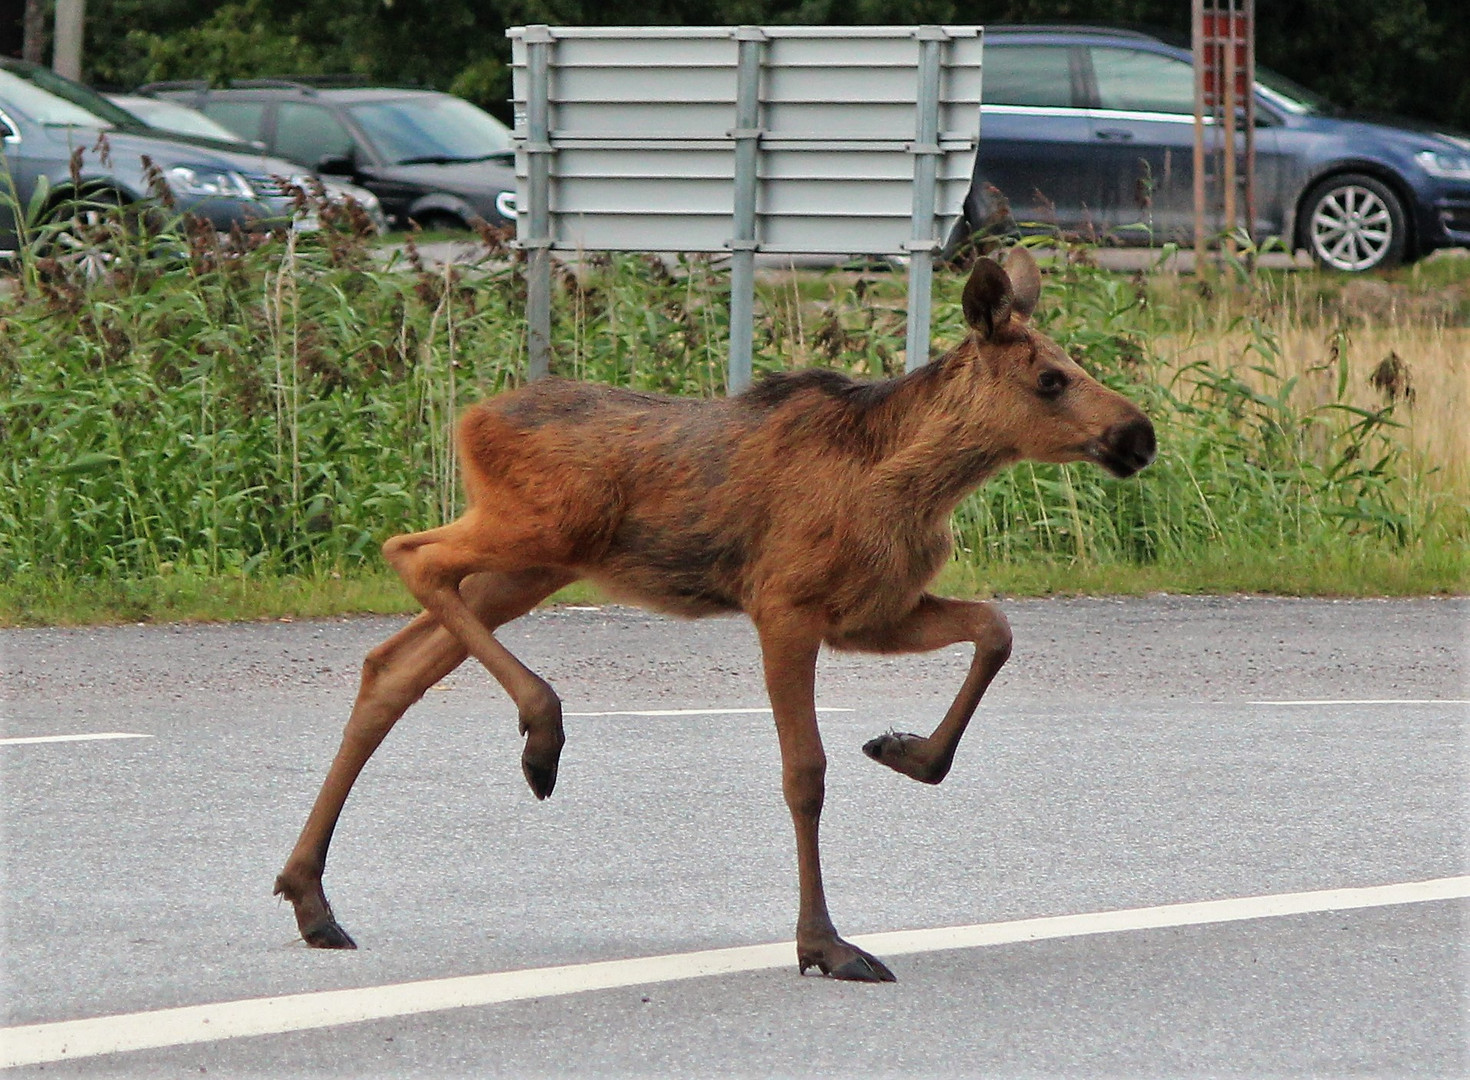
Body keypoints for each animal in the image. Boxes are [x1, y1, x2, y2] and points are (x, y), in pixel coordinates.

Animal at [273, 249, 1146, 981]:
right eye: (1051, 378)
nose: (1139, 435)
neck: (914, 487)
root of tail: (469, 418)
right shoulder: (787, 605)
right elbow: (805, 774)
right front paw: (824, 944)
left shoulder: (870, 613)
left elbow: (995, 627)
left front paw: (905, 751)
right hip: (542, 530)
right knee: (409, 552)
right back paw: (541, 732)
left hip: (531, 567)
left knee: (393, 662)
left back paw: (311, 897)